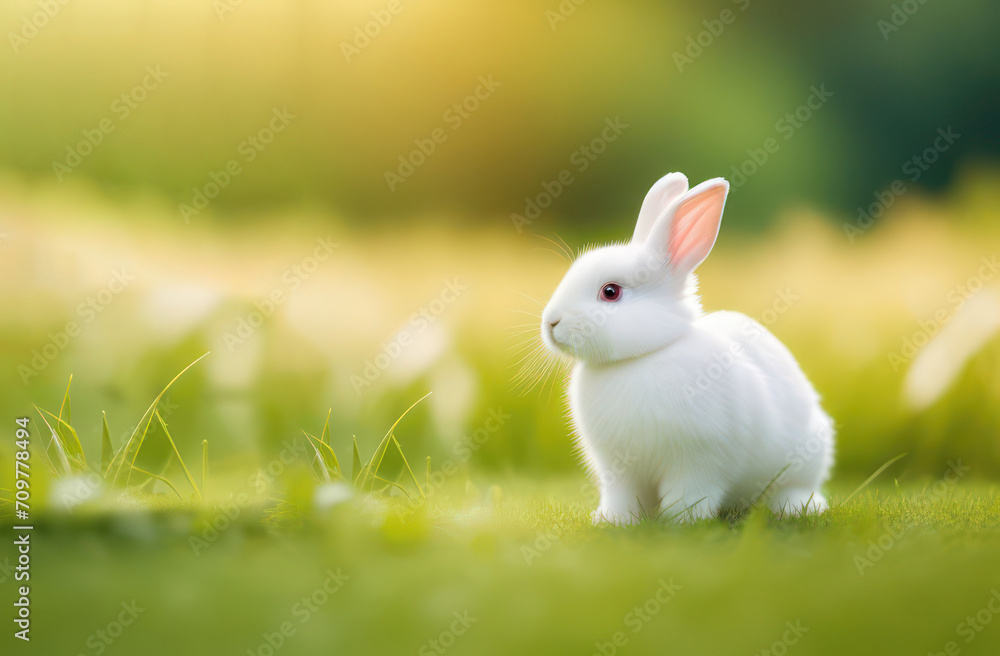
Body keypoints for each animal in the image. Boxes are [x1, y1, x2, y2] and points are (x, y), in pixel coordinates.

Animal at [544, 172, 832, 524]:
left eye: (610, 292)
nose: (551, 323)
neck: (643, 356)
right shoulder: (619, 469)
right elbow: (622, 498)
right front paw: (615, 521)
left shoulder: (699, 460)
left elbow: (691, 494)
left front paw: (682, 522)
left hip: (804, 460)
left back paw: (794, 508)